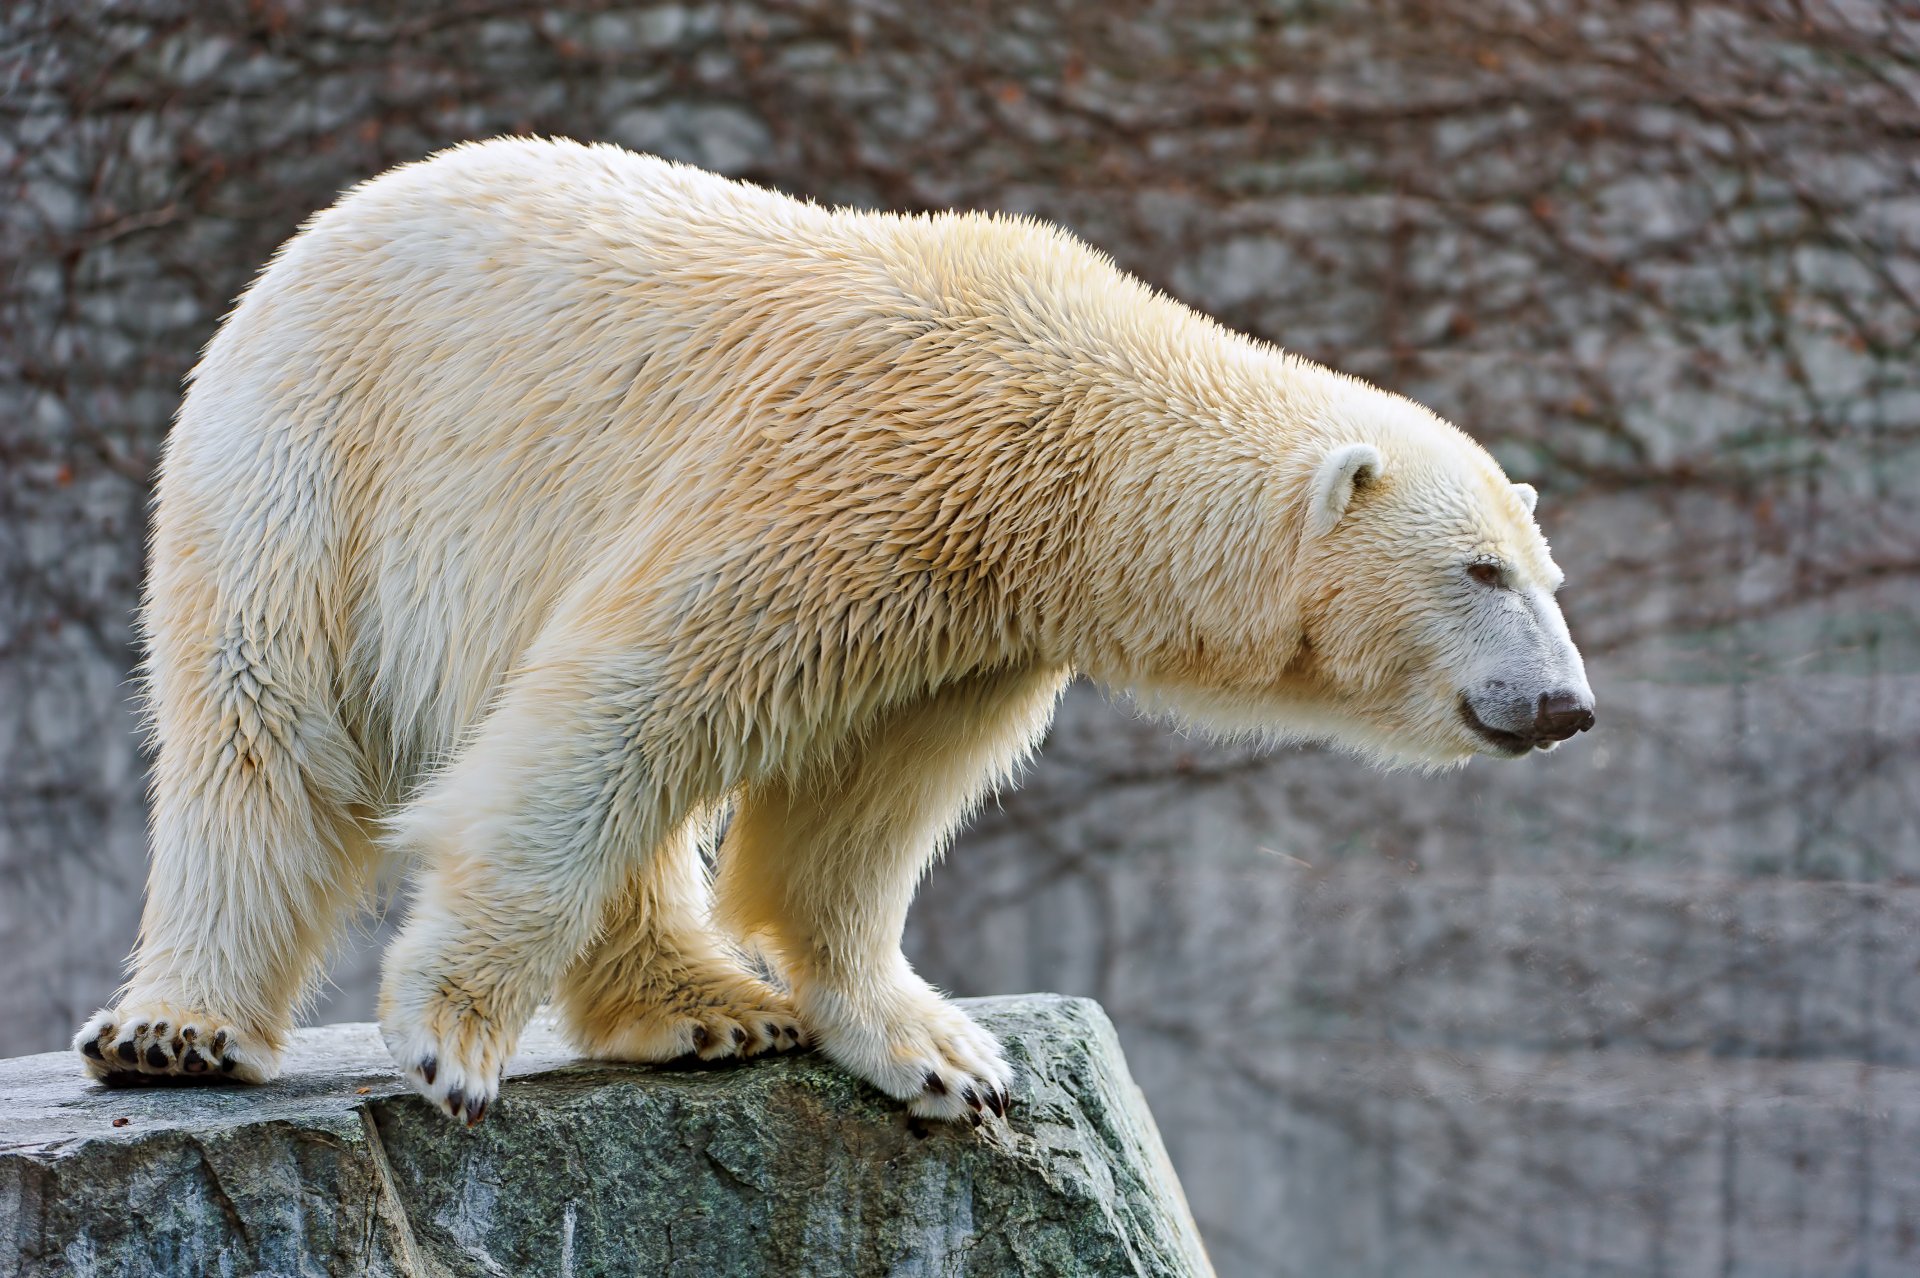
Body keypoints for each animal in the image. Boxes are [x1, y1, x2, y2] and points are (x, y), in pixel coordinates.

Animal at [74, 137, 1593, 1124]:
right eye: (1478, 572)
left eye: (1548, 575)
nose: (1567, 705)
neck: (1058, 427)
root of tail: (314, 232)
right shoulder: (833, 483)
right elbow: (614, 711)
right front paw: (449, 1035)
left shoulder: (965, 617)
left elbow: (855, 814)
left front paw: (941, 1055)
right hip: (317, 459)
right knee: (262, 724)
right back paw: (174, 1030)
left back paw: (705, 1005)